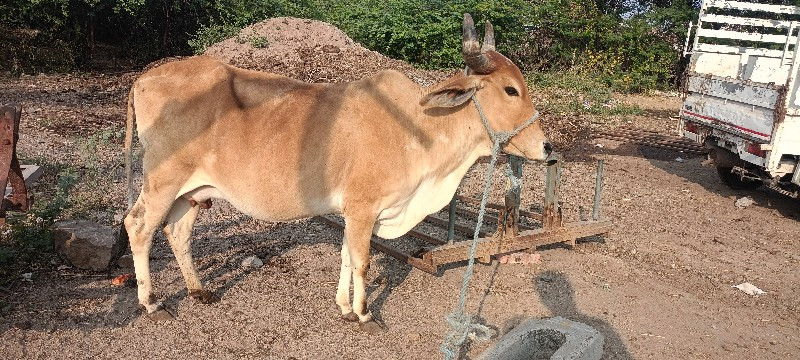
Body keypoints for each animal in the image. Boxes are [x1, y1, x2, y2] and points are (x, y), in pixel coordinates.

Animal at [123, 15, 552, 334]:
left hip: (192, 191)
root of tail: (144, 78)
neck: (418, 127)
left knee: (176, 232)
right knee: (138, 227)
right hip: (162, 181)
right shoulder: (363, 208)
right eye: (510, 90)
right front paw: (363, 314)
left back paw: (198, 291)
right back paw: (151, 303)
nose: (547, 148)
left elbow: (347, 256)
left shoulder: (353, 212)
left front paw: (344, 306)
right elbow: (360, 261)